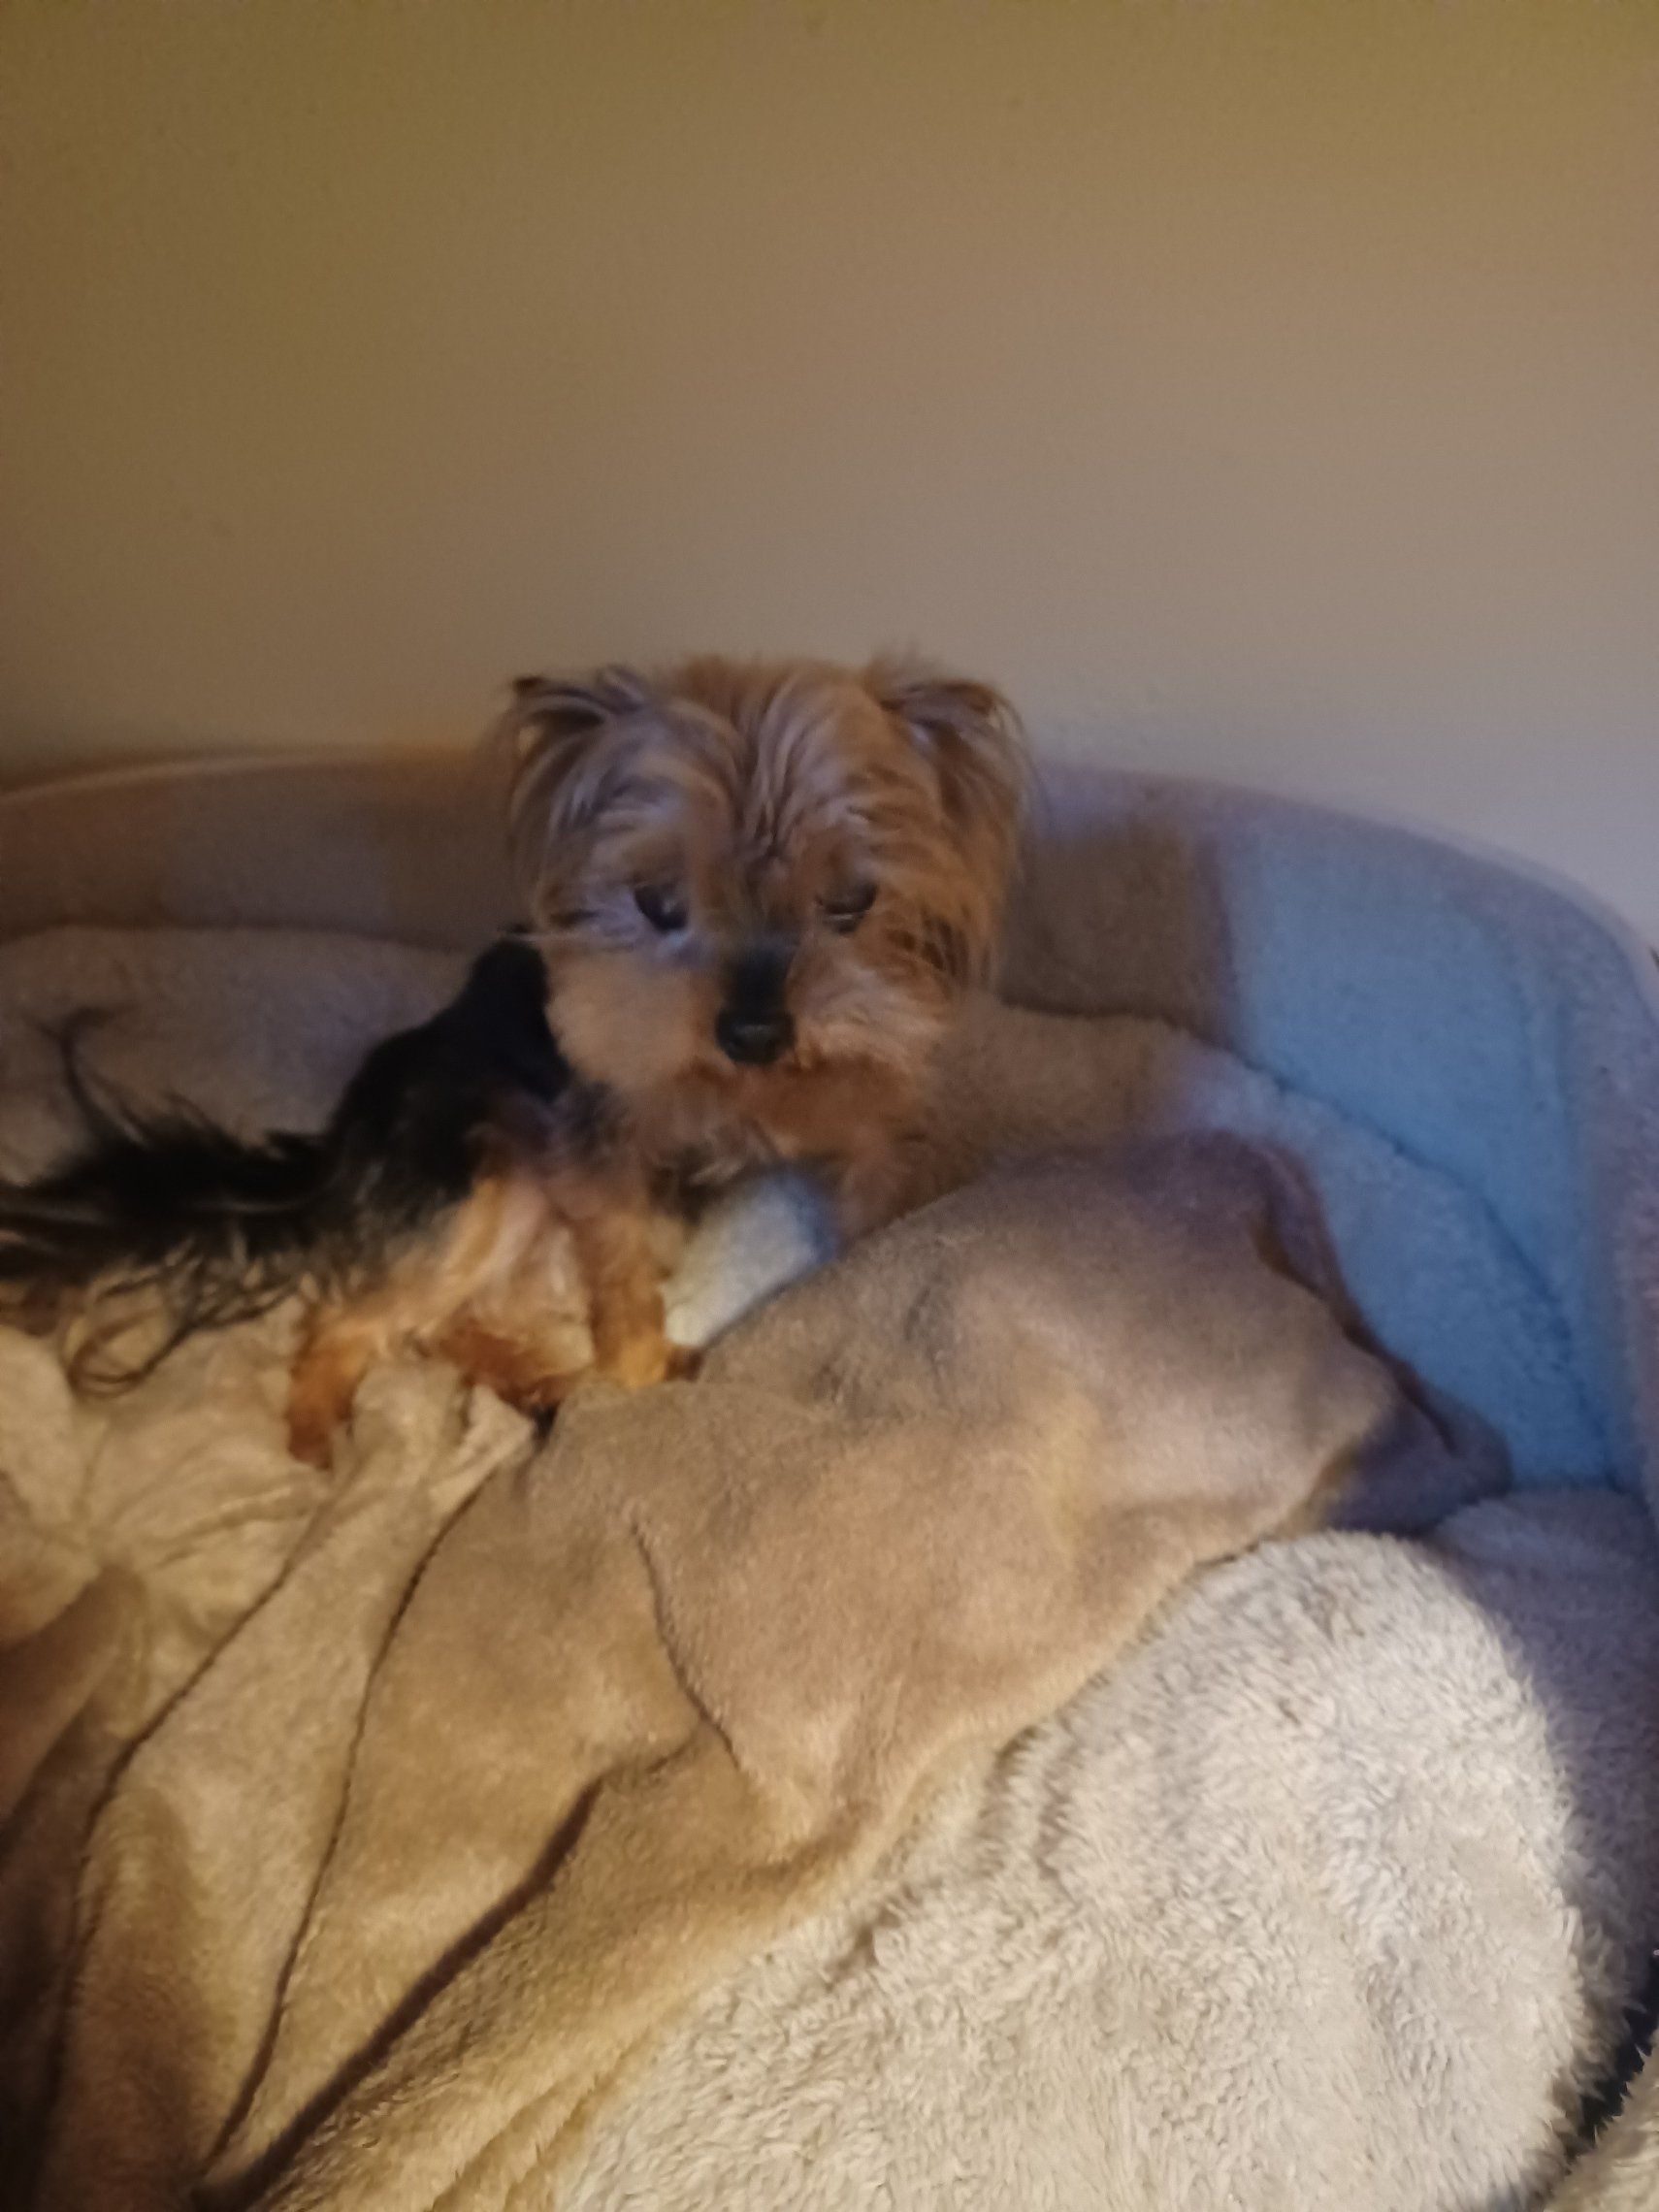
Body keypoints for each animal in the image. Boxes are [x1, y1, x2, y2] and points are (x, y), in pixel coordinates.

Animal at [0, 654, 1026, 1459]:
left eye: (851, 903)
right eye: (657, 903)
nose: (755, 1033)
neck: (746, 1091)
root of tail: (335, 1150)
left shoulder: (868, 1126)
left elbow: (867, 1213)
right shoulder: (596, 1143)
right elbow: (619, 1279)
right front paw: (637, 1386)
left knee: (442, 1324)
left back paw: (536, 1382)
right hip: (486, 1172)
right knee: (361, 1315)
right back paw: (319, 1427)